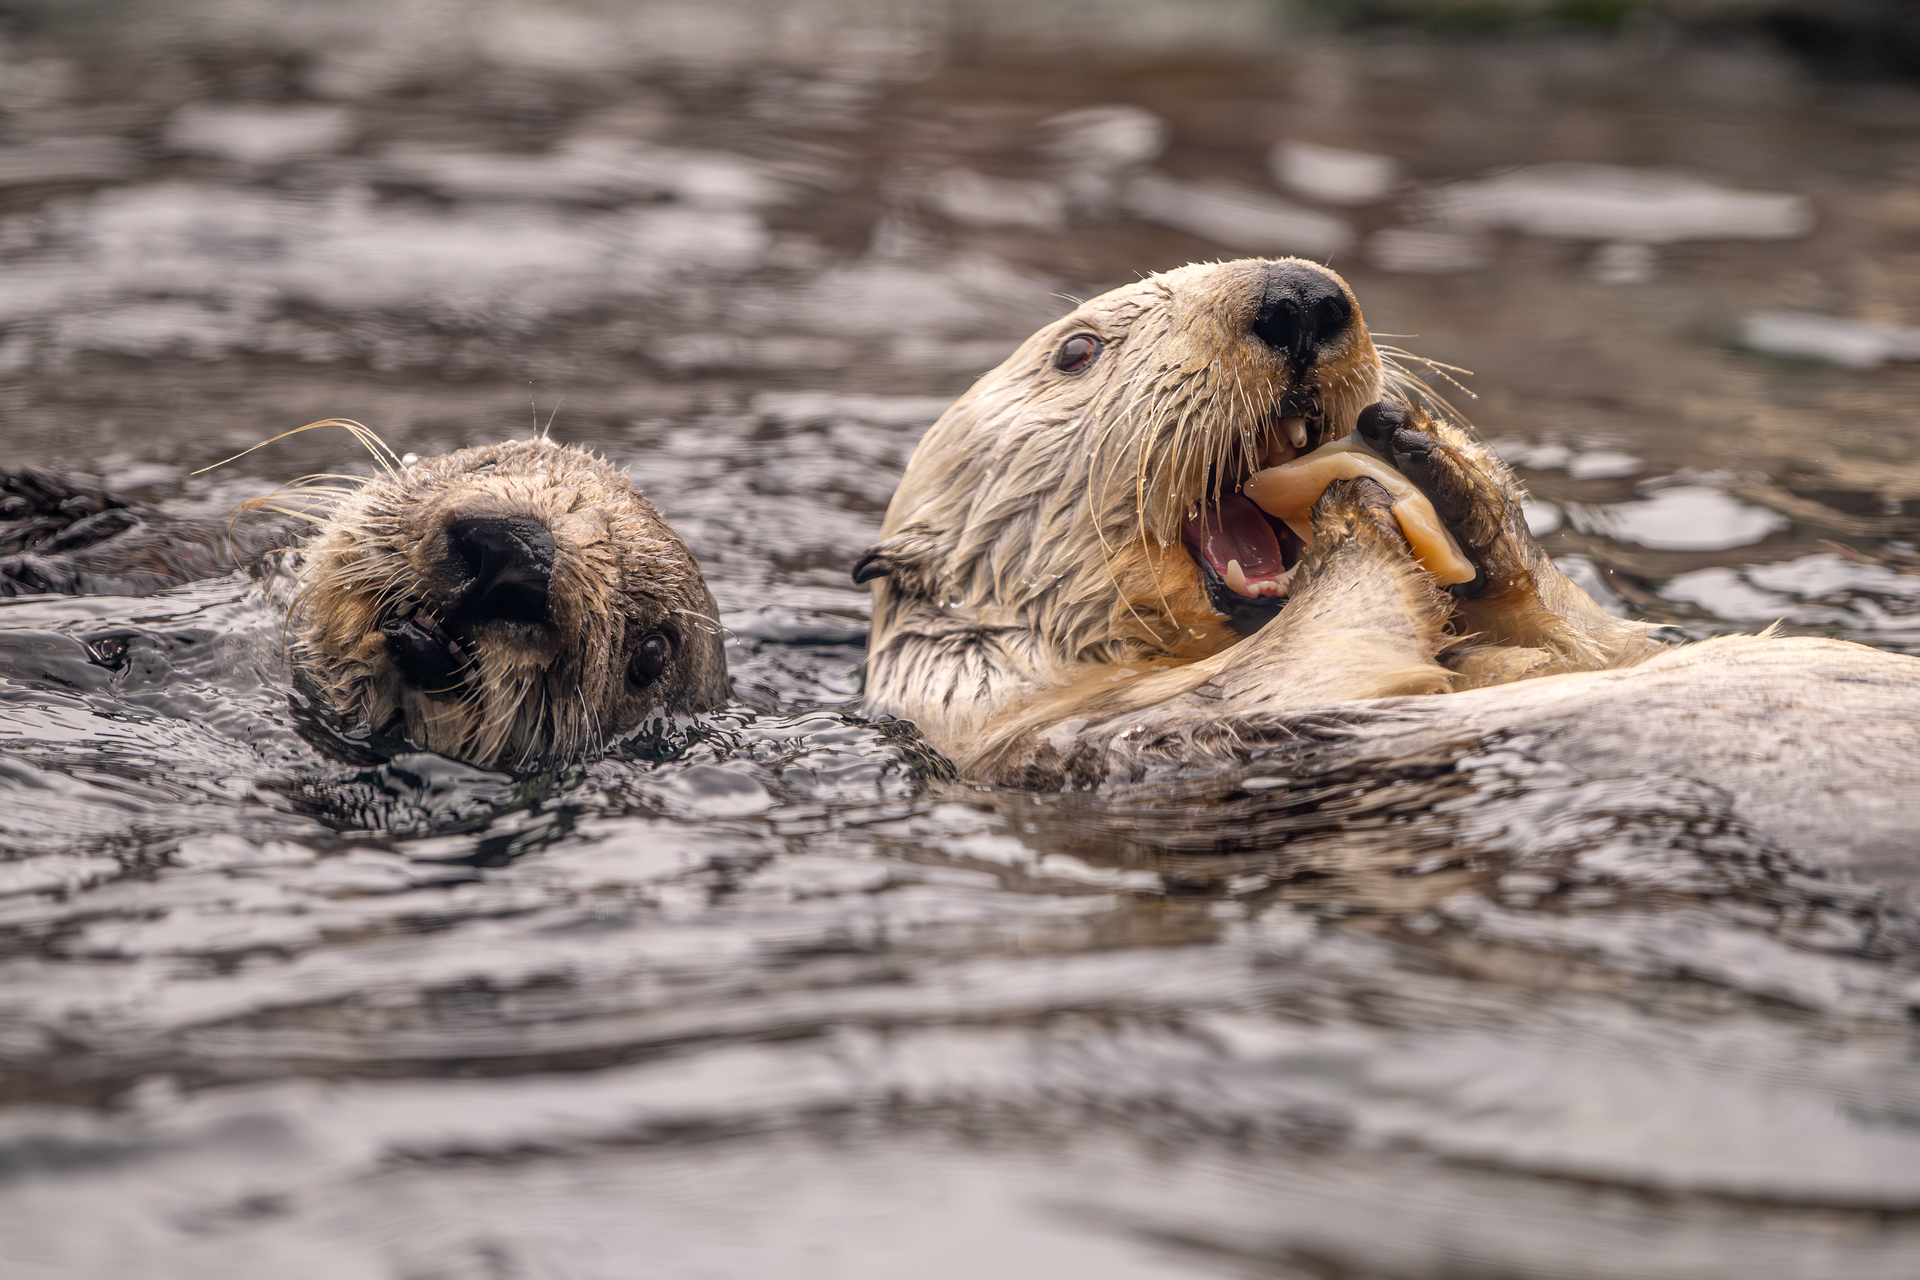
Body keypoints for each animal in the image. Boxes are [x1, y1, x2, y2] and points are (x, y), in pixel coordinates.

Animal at [856, 258, 1920, 862]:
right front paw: (1350, 511)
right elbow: (1339, 651)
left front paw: (1438, 461)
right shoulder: (1131, 733)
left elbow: (1597, 643)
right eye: (1076, 351)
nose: (1297, 297)